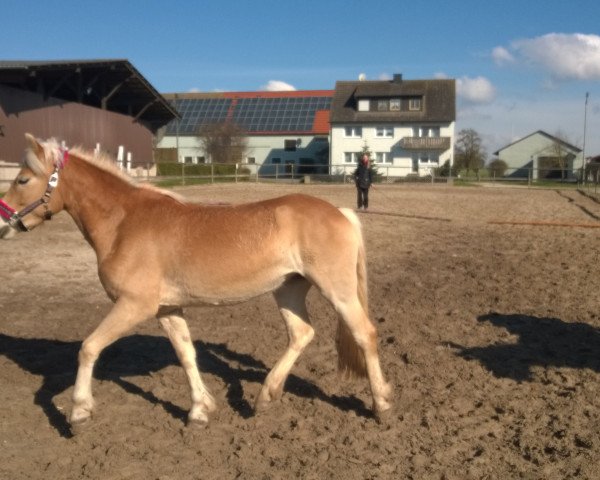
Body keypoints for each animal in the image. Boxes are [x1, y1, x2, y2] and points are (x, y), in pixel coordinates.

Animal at [0, 133, 392, 430]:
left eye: (22, 180)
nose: (3, 221)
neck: (124, 222)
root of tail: (339, 212)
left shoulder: (134, 306)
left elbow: (89, 347)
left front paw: (80, 410)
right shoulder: (167, 309)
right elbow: (187, 354)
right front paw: (200, 410)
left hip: (337, 291)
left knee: (364, 334)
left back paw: (381, 404)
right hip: (289, 289)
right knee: (301, 333)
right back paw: (266, 395)